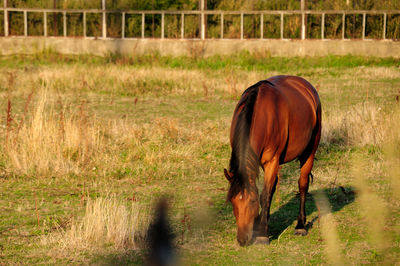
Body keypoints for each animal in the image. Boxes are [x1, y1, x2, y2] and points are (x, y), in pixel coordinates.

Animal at [225, 75, 322, 245]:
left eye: (252, 201)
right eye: (232, 201)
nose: (242, 240)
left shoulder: (271, 161)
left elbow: (265, 195)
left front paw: (262, 234)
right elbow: (267, 191)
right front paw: (260, 225)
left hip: (309, 151)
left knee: (303, 184)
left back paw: (300, 225)